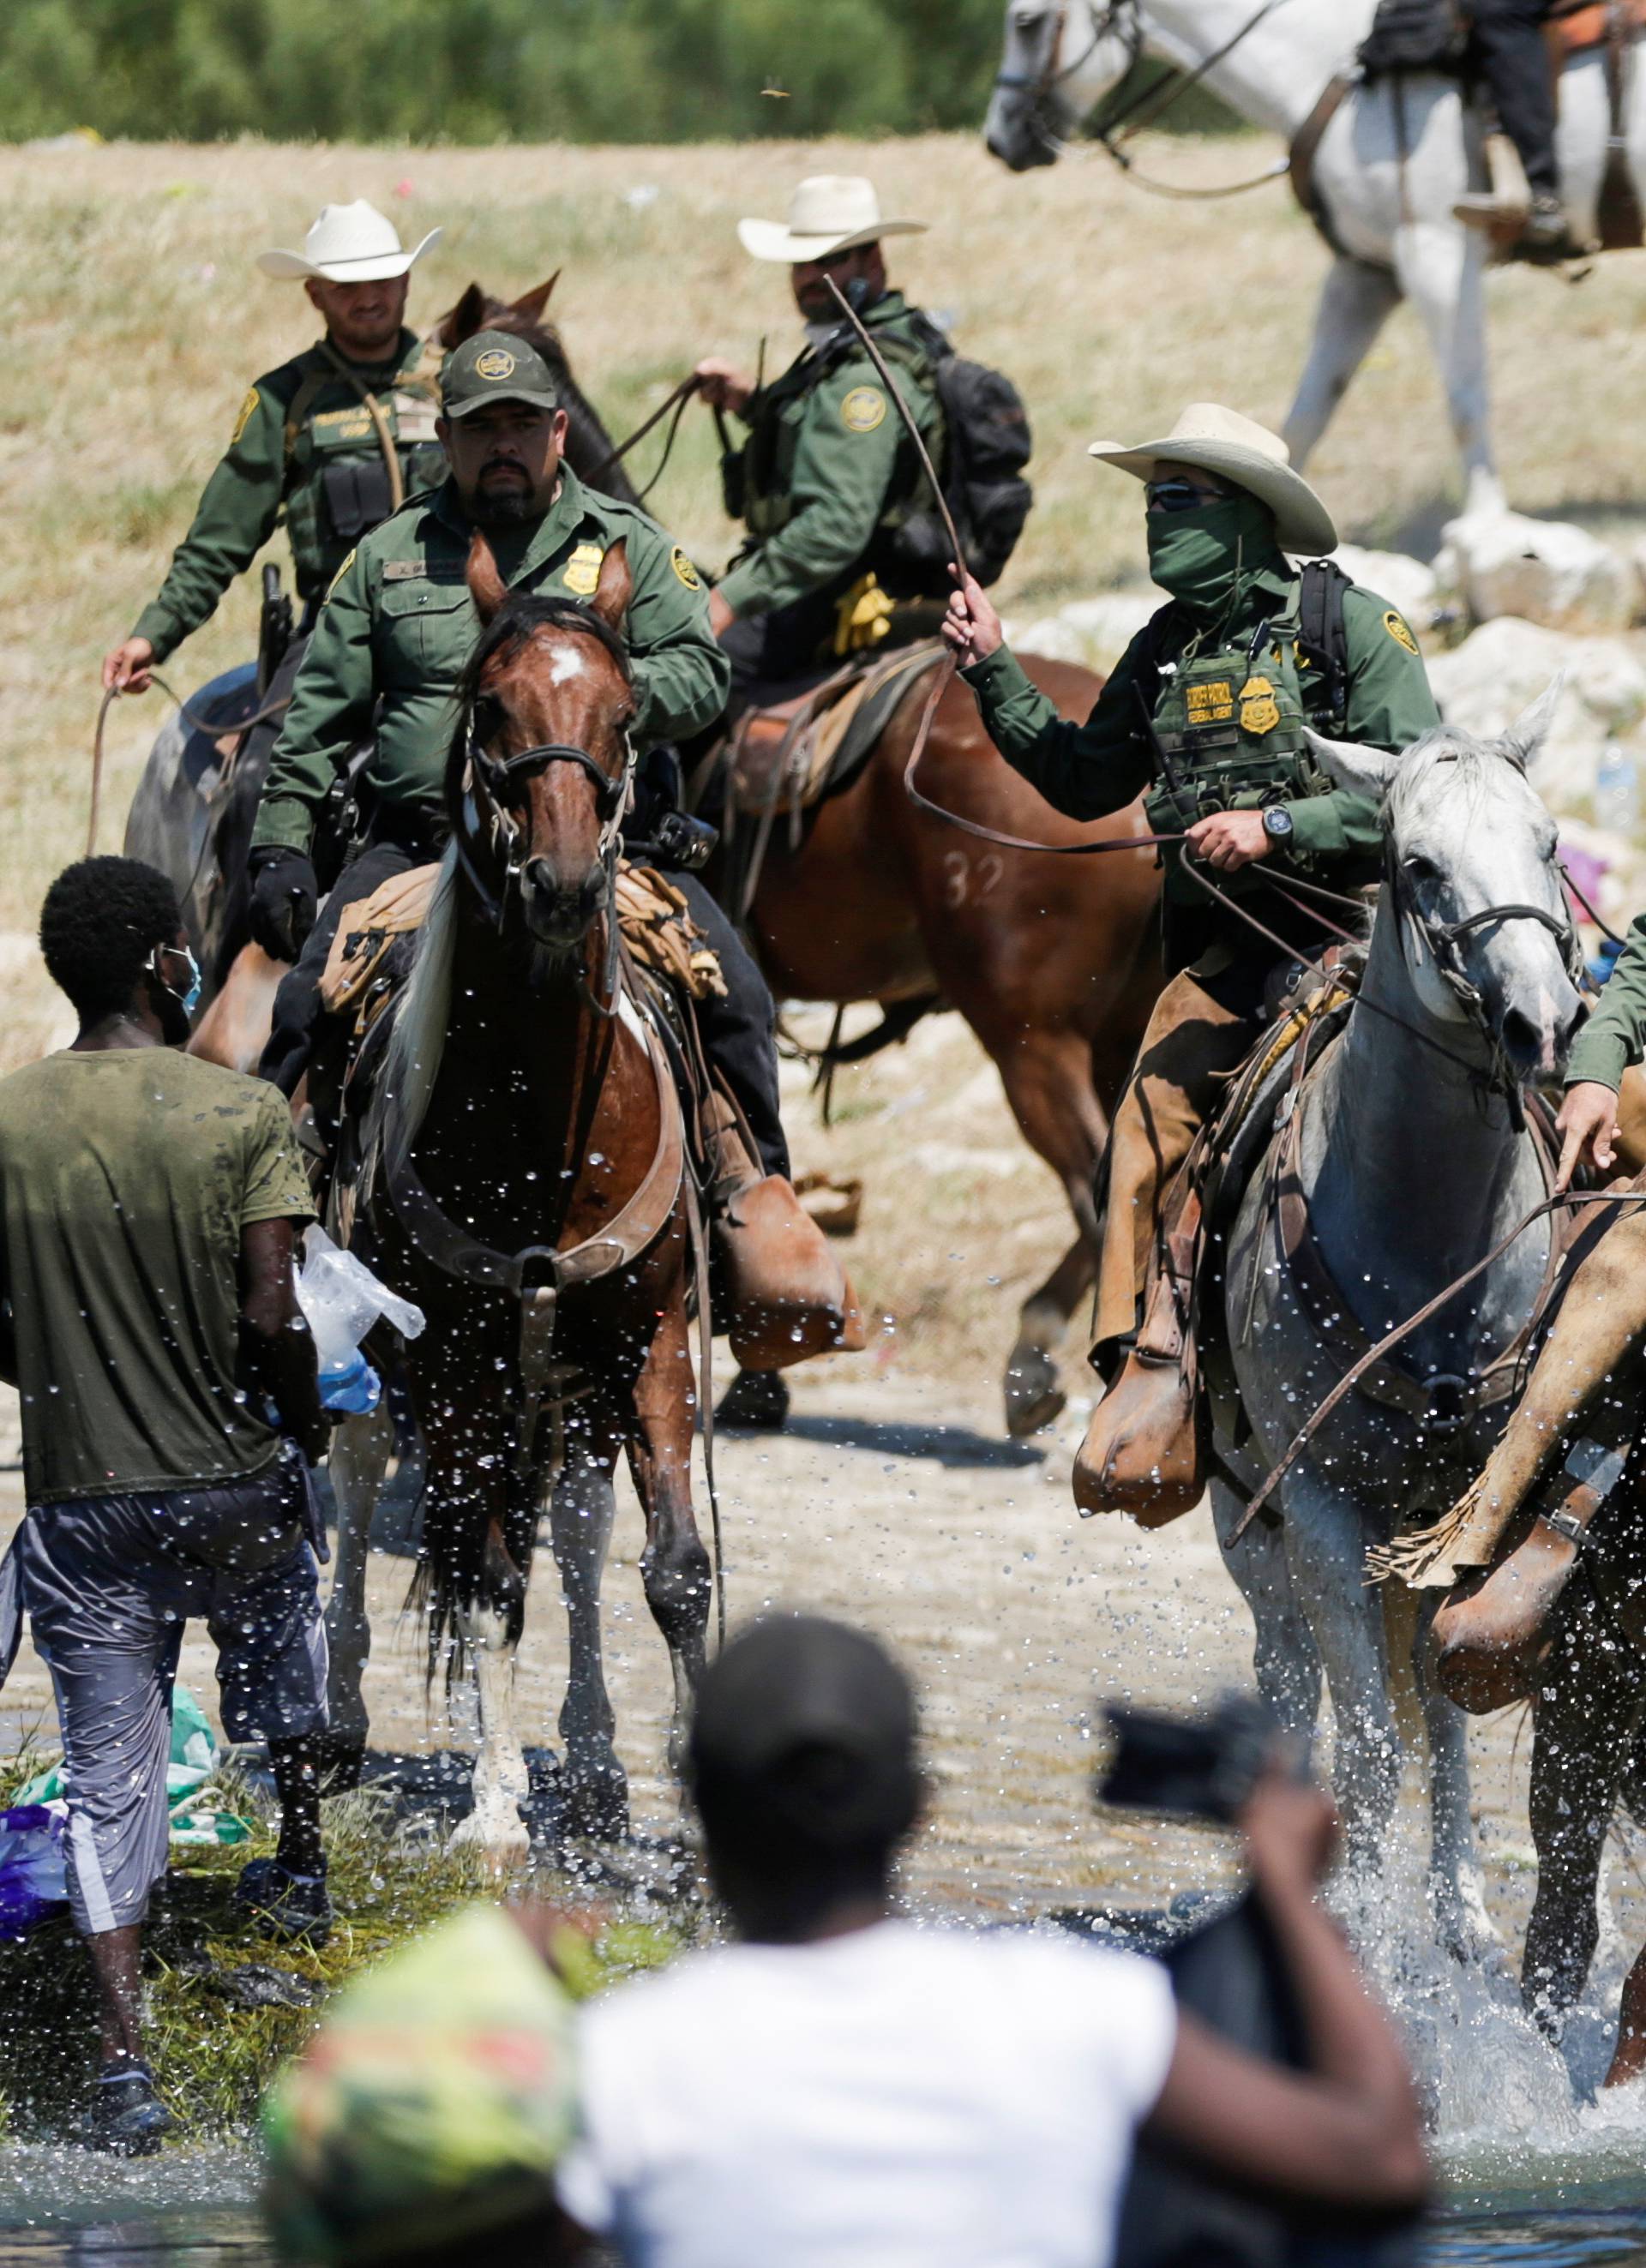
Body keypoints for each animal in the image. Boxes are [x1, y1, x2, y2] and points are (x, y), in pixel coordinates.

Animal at [321, 539, 707, 1851]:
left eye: (625, 713)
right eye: (490, 706)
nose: (564, 883)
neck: (544, 1126)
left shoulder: (651, 1337)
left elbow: (671, 1568)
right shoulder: (453, 1364)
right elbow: (484, 1575)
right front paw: (493, 1805)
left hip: (569, 1382)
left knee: (578, 1534)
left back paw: (591, 1762)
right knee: (358, 1483)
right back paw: (336, 1723)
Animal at [988, 0, 1641, 514]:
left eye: (1027, 20)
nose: (1000, 140)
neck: (1335, 69)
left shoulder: (1435, 252)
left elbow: (1466, 398)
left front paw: (1488, 527)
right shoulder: (1367, 272)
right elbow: (1303, 420)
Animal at [1224, 698, 1587, 1941]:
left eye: (1548, 842)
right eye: (1420, 864)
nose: (1544, 1022)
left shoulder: (1469, 1504)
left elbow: (1440, 1703)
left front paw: (1456, 1909)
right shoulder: (1325, 1510)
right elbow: (1373, 1741)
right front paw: (1360, 1923)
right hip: (1251, 1518)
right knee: (1291, 1673)